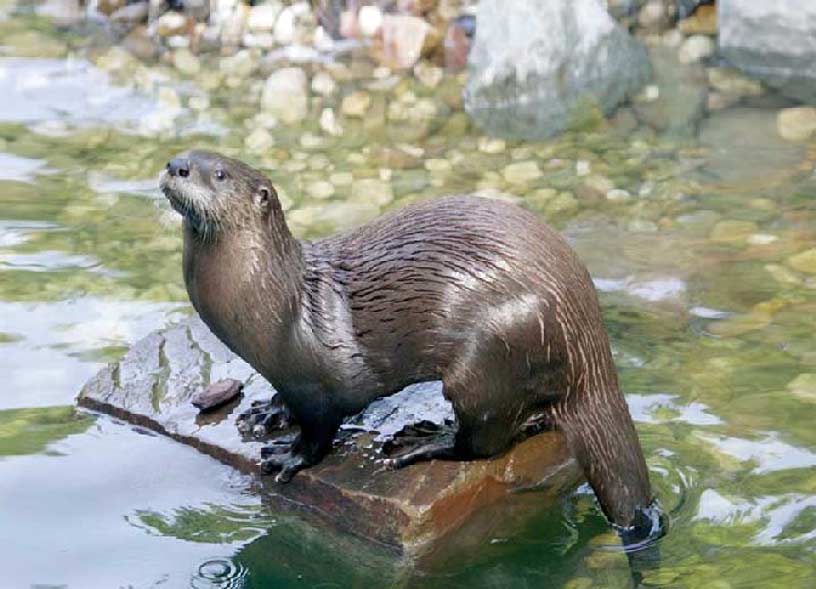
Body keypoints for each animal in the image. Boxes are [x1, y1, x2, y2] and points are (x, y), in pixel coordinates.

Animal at [159, 149, 664, 540]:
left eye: (218, 174)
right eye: (186, 154)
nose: (176, 165)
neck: (275, 298)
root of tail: (589, 340)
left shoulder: (320, 383)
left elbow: (321, 430)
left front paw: (290, 455)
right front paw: (269, 411)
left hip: (492, 352)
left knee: (485, 440)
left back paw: (424, 439)